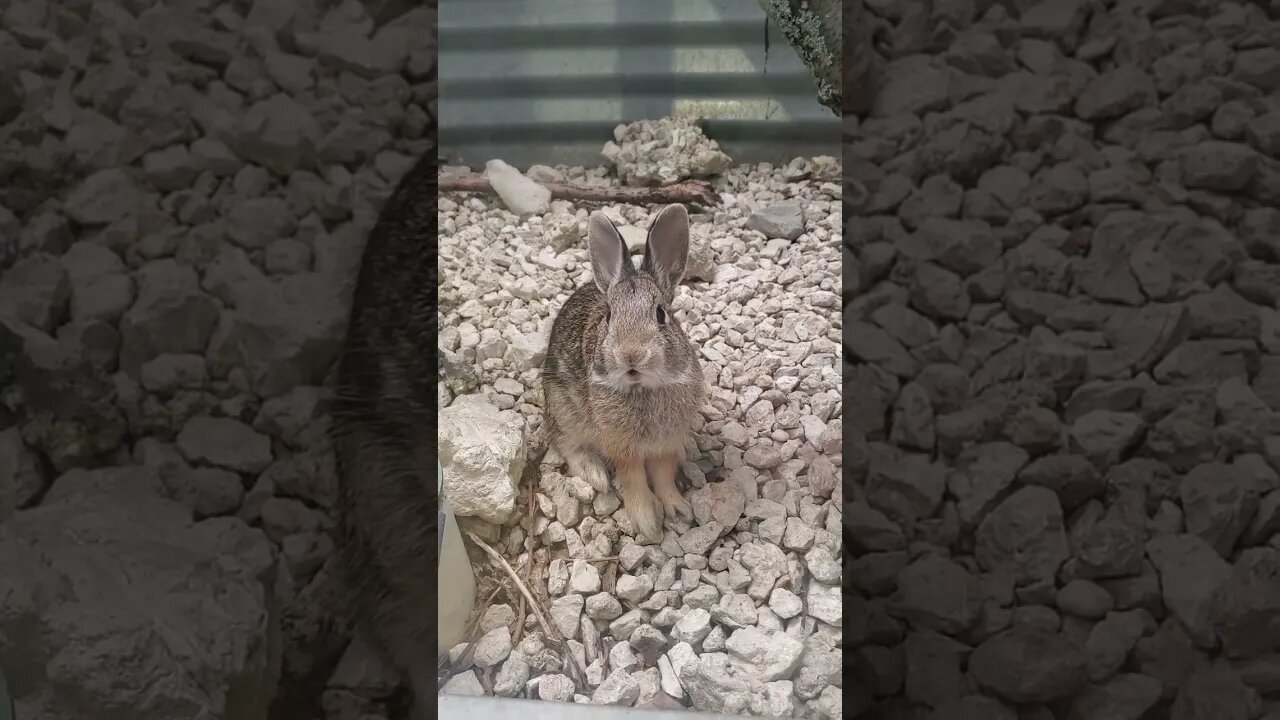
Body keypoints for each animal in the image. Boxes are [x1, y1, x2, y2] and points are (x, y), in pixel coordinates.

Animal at [537, 202, 706, 538]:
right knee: (564, 443)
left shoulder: (665, 444)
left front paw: (679, 510)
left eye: (661, 314)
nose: (631, 355)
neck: (642, 388)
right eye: (609, 316)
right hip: (563, 408)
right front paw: (647, 523)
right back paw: (596, 474)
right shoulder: (623, 448)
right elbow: (634, 480)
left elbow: (663, 475)